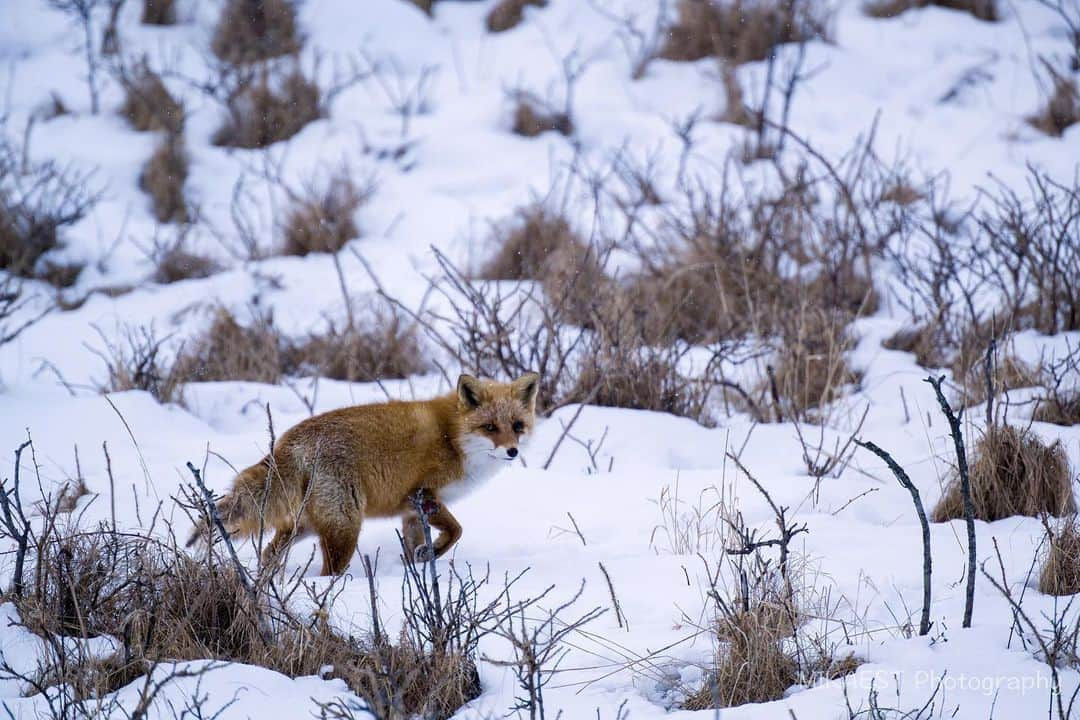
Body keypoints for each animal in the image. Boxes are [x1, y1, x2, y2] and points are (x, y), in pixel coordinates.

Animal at [187, 371, 540, 574]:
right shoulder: (423, 494)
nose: (512, 451)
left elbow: (416, 544)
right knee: (327, 573)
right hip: (345, 527)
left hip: (305, 525)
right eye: (490, 427)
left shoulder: (410, 510)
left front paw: (415, 573)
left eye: (517, 426)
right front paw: (431, 554)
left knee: (269, 553)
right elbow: (456, 531)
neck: (453, 438)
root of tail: (287, 441)